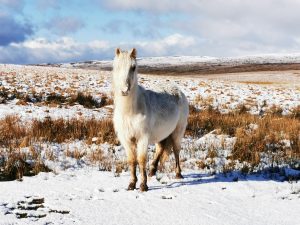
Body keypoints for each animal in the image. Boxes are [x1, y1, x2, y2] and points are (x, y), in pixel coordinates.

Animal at [112, 48, 188, 192]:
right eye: (116, 67)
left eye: (133, 67)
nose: (124, 90)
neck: (130, 111)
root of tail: (179, 92)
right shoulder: (126, 139)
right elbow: (132, 160)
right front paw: (131, 184)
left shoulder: (143, 138)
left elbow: (141, 160)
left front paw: (143, 185)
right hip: (162, 134)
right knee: (160, 149)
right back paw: (153, 170)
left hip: (177, 132)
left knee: (176, 150)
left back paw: (178, 173)